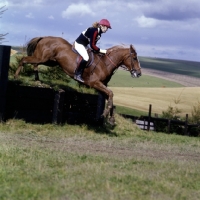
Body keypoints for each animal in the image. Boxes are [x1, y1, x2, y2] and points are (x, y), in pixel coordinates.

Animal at [14, 35, 142, 123]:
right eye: (135, 58)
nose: (139, 73)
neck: (105, 63)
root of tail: (44, 37)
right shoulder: (95, 83)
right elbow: (110, 94)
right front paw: (104, 115)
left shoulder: (101, 86)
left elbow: (111, 98)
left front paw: (111, 119)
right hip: (43, 58)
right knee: (24, 60)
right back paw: (16, 76)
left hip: (50, 61)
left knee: (34, 64)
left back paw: (37, 79)